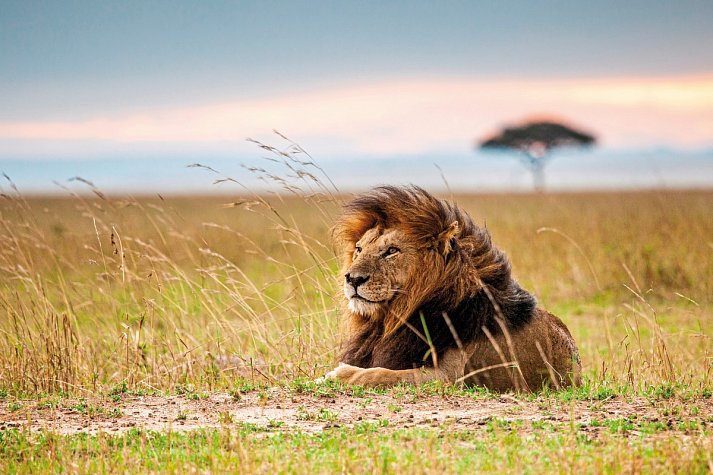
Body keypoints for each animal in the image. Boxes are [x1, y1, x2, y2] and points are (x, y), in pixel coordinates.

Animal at [322, 186, 581, 392]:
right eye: (358, 249)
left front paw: (339, 374)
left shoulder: (448, 377)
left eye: (392, 251)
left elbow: (381, 373)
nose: (352, 279)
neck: (391, 319)